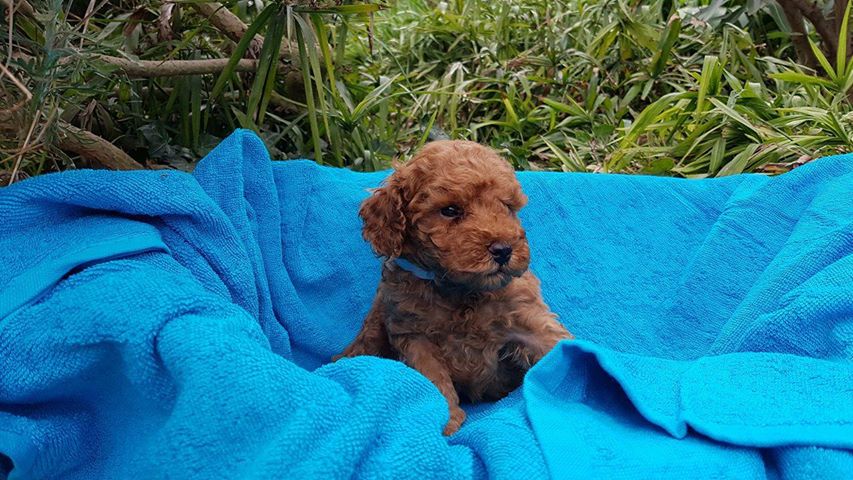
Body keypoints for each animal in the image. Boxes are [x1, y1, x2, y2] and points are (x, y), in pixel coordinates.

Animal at [336, 140, 568, 436]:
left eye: (507, 206)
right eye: (450, 211)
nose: (503, 250)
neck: (459, 289)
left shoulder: (525, 316)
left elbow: (554, 342)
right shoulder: (413, 335)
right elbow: (433, 377)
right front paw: (448, 422)